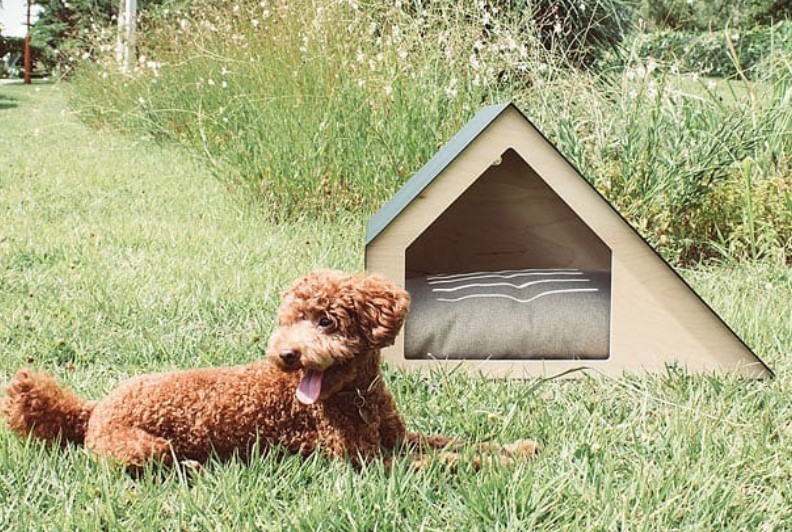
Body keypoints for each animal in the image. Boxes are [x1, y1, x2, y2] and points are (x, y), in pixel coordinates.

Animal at [1, 272, 540, 468]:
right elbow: (446, 462)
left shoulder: (398, 439)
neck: (354, 398)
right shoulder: (365, 462)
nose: (286, 356)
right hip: (138, 446)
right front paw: (500, 466)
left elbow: (456, 443)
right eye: (286, 321)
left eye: (326, 320)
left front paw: (518, 449)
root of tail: (91, 409)